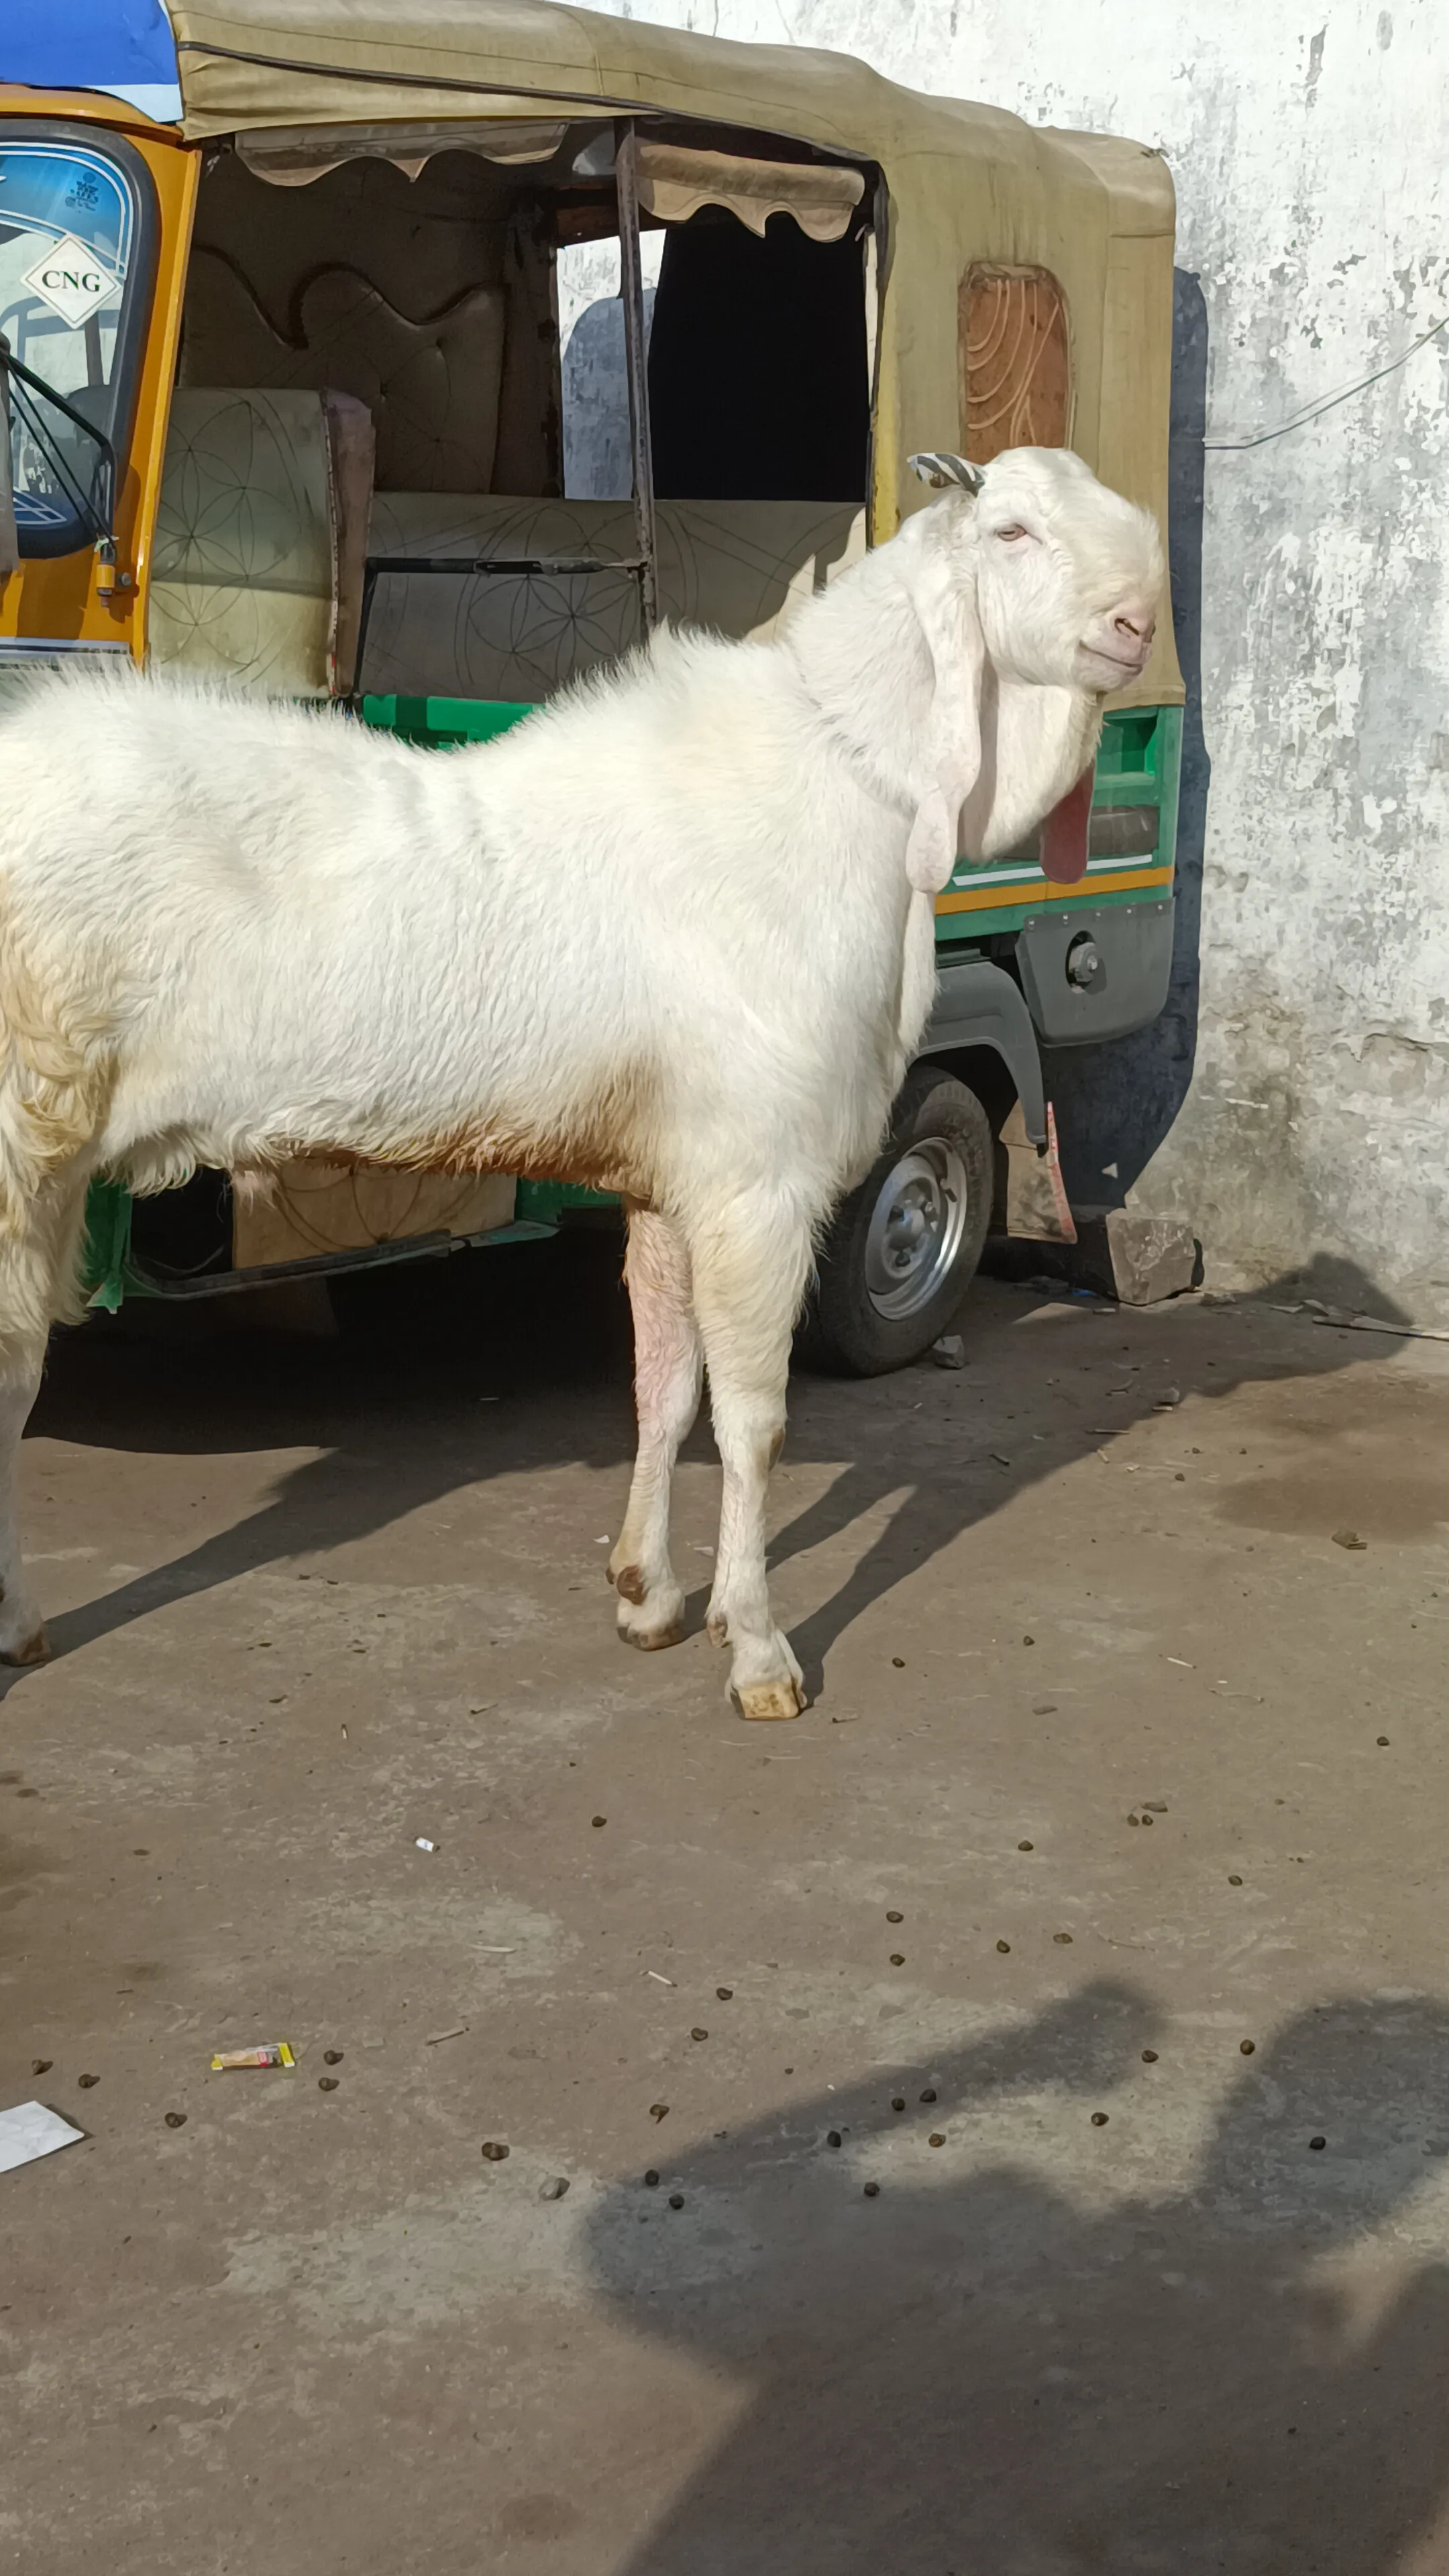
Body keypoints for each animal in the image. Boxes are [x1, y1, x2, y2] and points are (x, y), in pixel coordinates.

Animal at [0, 445, 1163, 1718]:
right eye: (1010, 532)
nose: (1134, 626)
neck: (850, 783)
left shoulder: (674, 1175)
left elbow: (667, 1385)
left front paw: (649, 1595)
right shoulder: (760, 1180)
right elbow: (754, 1419)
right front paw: (759, 1650)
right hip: (25, 1130)